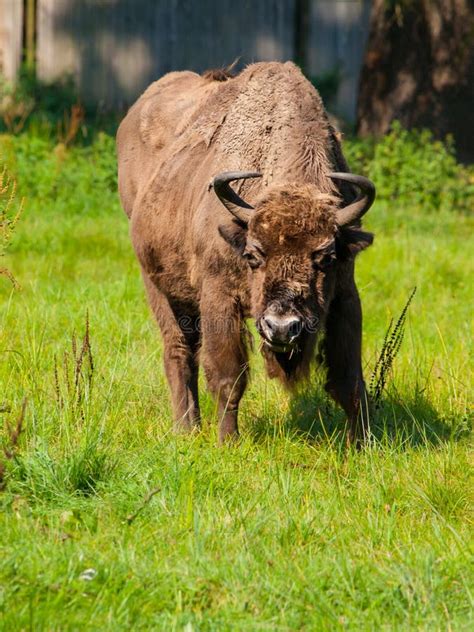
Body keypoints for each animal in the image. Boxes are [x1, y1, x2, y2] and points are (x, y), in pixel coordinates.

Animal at [116, 60, 376, 444]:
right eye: (253, 255)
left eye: (326, 257)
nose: (282, 327)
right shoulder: (218, 297)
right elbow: (229, 377)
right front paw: (228, 442)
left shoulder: (344, 296)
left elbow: (349, 380)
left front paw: (361, 444)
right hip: (158, 285)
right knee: (179, 351)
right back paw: (186, 429)